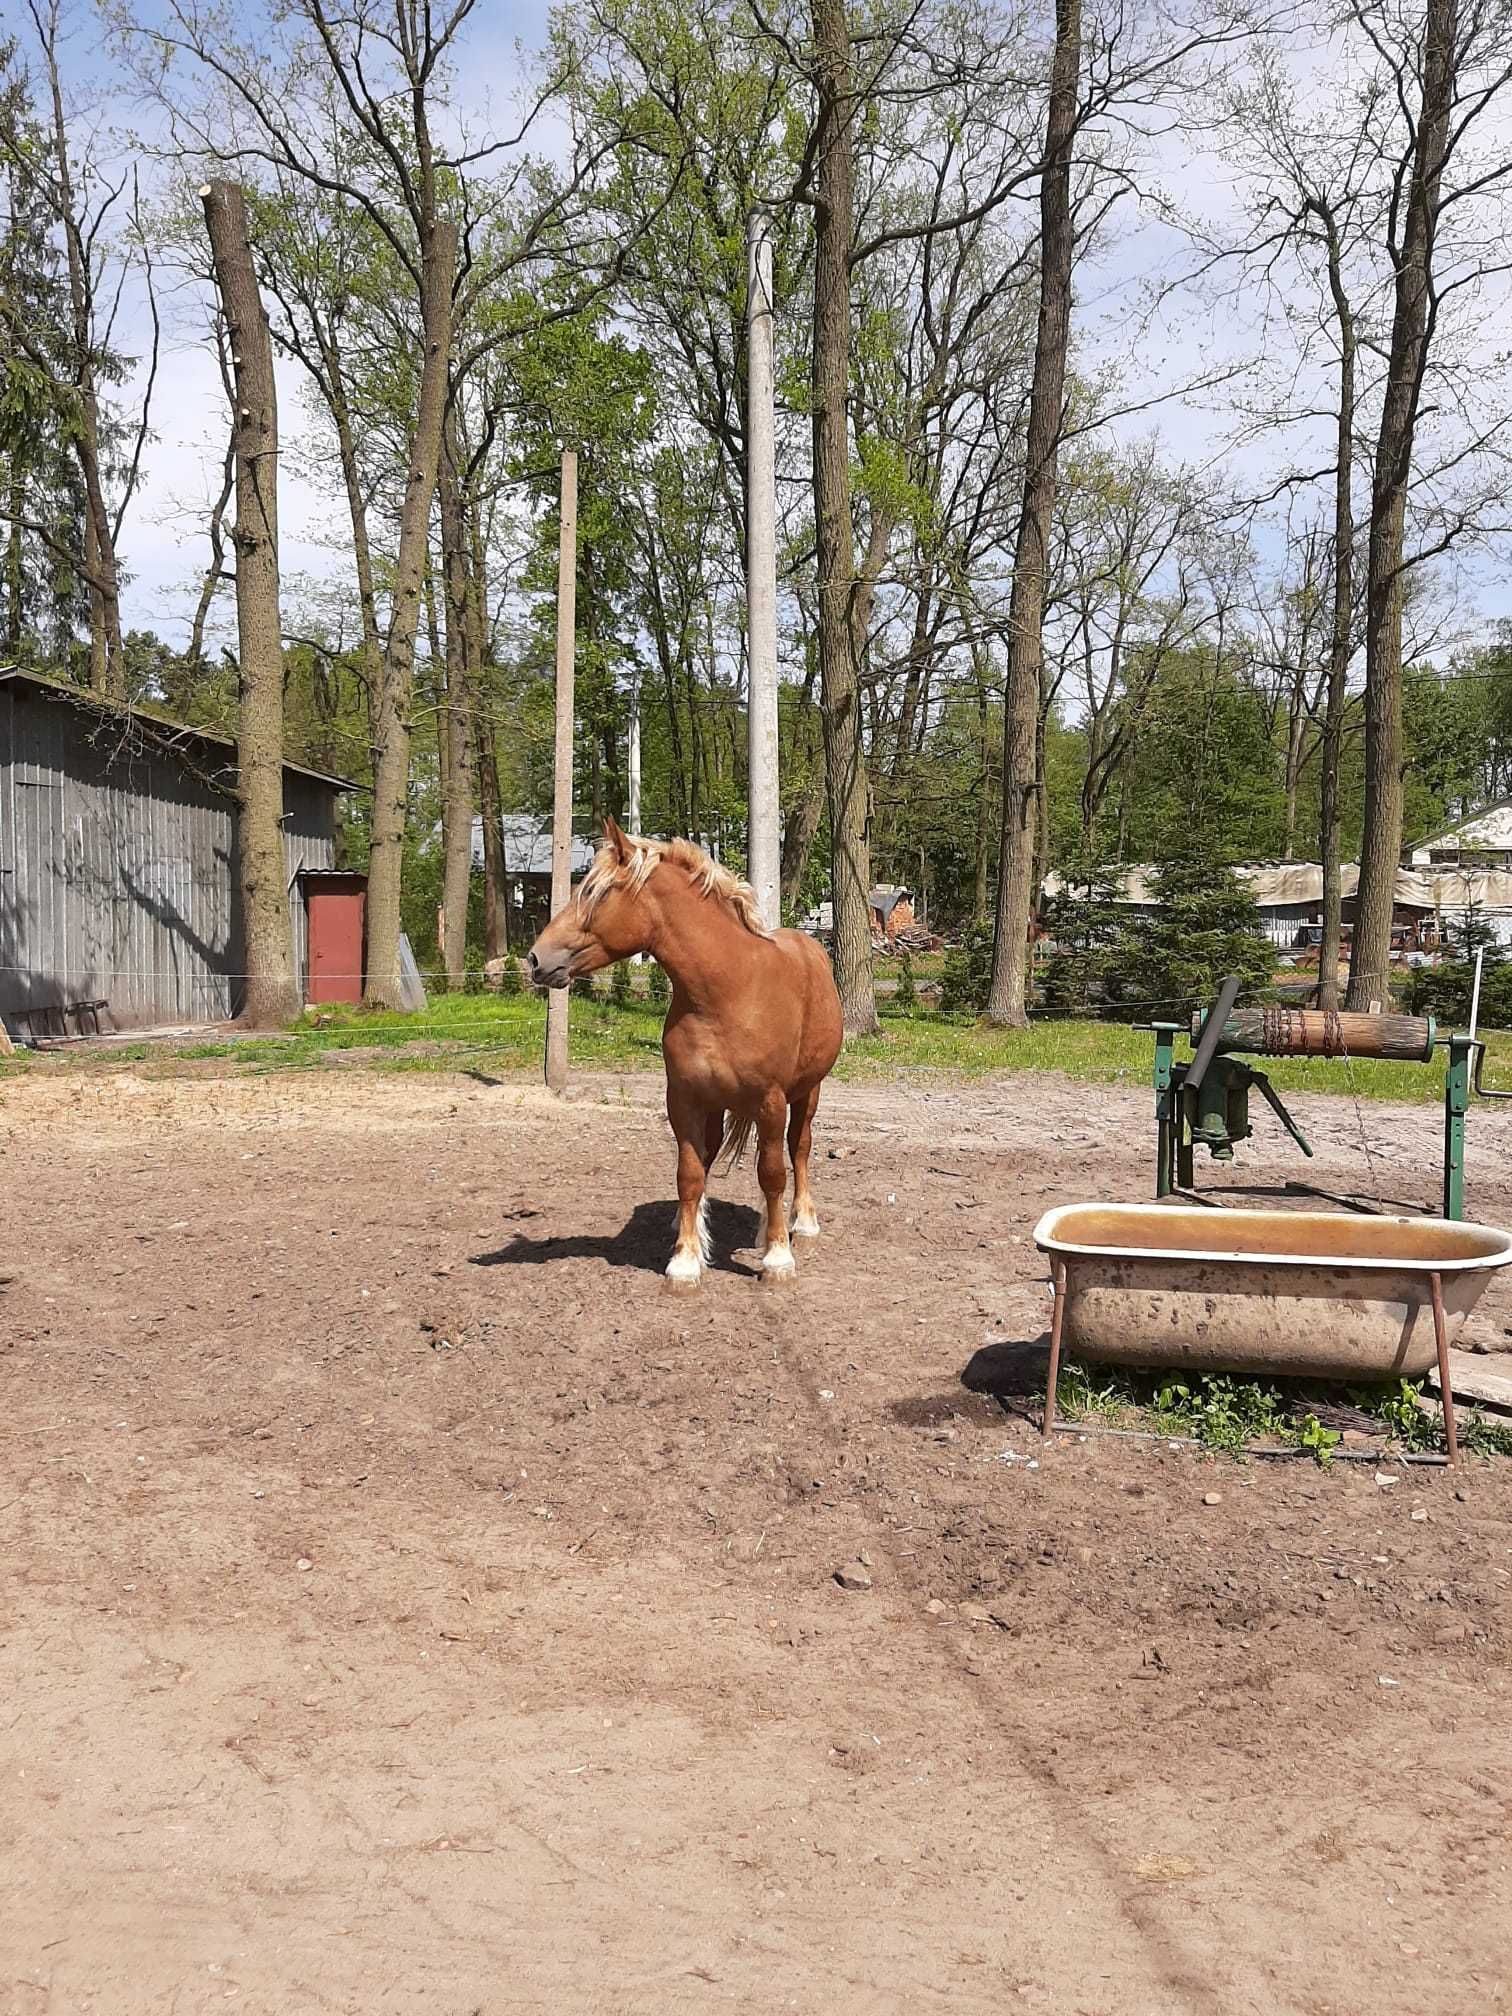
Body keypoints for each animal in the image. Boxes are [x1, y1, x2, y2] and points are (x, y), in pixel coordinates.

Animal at [528, 814, 842, 1274]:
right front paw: (685, 1259)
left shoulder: (771, 1101)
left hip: (807, 1092)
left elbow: (772, 1173)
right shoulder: (685, 1098)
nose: (536, 959)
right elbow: (690, 1173)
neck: (728, 993)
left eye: (598, 893)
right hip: (717, 1102)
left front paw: (777, 1256)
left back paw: (799, 1222)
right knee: (712, 1155)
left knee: (797, 1150)